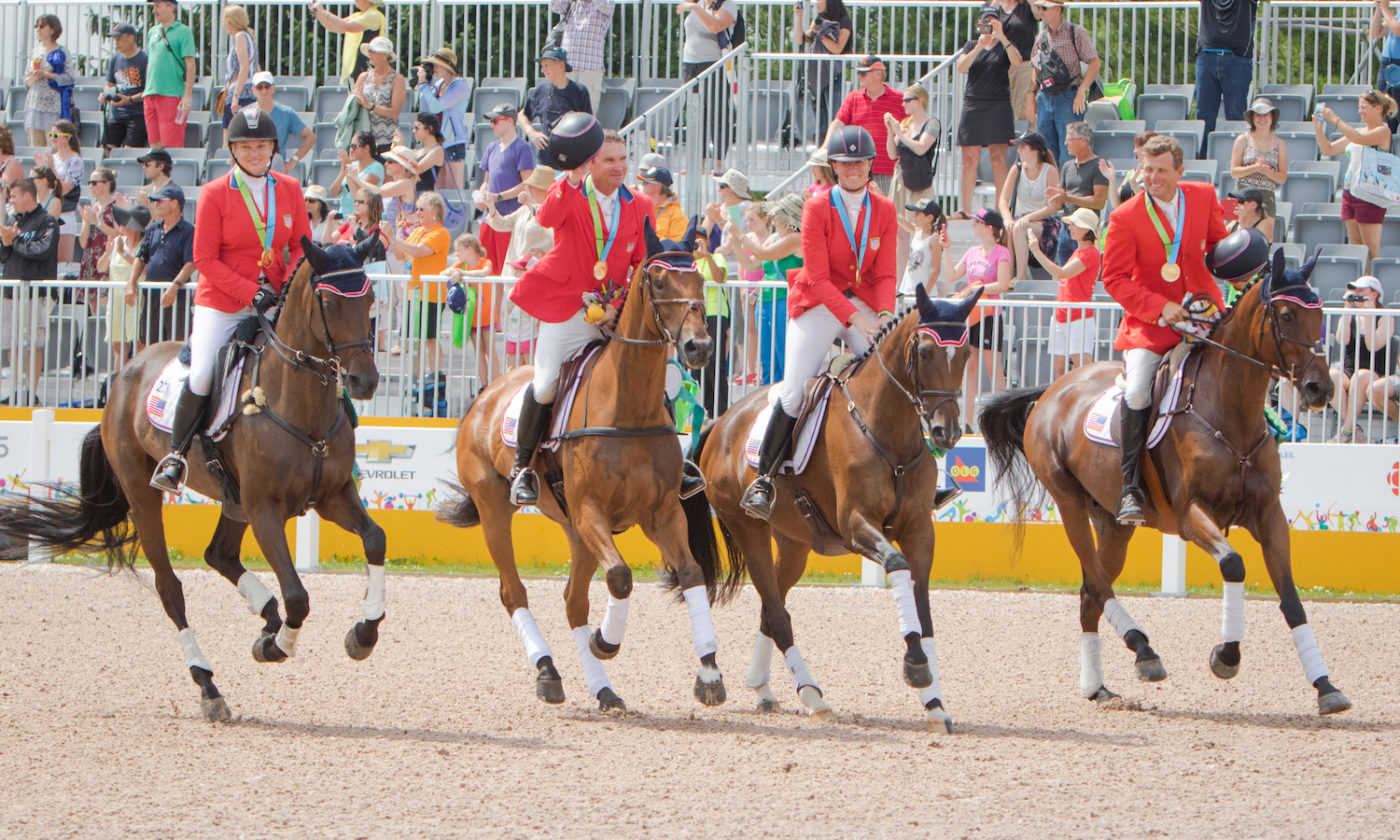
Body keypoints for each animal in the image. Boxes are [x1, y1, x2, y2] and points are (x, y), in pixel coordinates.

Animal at [0, 238, 383, 722]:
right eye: (330, 303)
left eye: (370, 301)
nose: (364, 381)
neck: (298, 402)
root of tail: (125, 372)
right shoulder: (265, 510)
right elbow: (298, 596)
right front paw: (276, 648)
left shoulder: (332, 497)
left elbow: (375, 540)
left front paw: (362, 635)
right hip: (146, 495)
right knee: (170, 589)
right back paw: (210, 684)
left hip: (233, 500)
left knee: (219, 554)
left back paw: (266, 617)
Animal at [442, 221, 739, 708]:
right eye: (660, 281)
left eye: (700, 280)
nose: (698, 347)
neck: (628, 407)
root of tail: (485, 394)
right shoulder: (590, 511)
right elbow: (620, 577)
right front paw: (606, 640)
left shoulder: (661, 514)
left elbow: (691, 574)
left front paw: (710, 672)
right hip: (496, 510)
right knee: (513, 591)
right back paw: (548, 671)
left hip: (573, 530)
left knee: (572, 600)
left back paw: (602, 688)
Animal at [691, 284, 980, 728]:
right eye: (926, 352)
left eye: (964, 355)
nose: (945, 433)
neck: (889, 431)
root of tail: (721, 422)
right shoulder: (857, 524)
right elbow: (897, 567)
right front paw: (916, 666)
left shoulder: (919, 531)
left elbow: (922, 604)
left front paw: (935, 702)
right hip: (749, 529)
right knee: (777, 615)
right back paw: (812, 695)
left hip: (794, 543)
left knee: (772, 607)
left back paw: (764, 687)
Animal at [980, 249, 1349, 714]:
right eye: (1285, 315)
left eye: (1319, 314)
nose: (1320, 389)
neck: (1230, 411)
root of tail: (1052, 389)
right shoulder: (1191, 515)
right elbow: (1233, 564)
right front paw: (1226, 656)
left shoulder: (1269, 516)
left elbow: (1292, 599)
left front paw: (1325, 686)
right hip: (1069, 503)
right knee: (1097, 584)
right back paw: (1144, 652)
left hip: (1114, 524)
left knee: (1089, 593)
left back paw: (1098, 687)